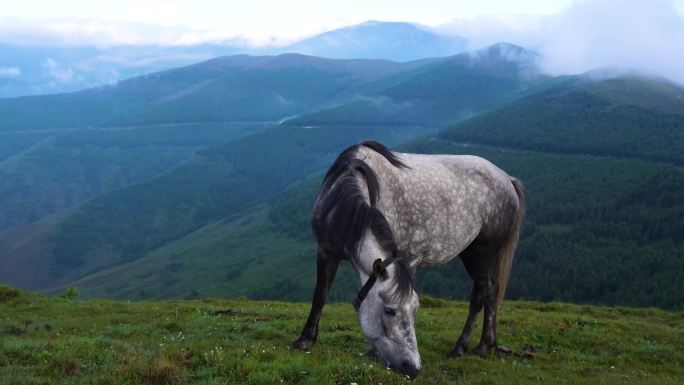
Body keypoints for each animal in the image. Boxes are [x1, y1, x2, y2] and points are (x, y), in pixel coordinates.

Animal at [292, 140, 524, 376]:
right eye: (389, 310)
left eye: (414, 310)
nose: (412, 367)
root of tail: (507, 179)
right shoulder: (326, 251)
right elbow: (320, 294)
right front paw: (305, 339)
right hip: (470, 253)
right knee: (492, 289)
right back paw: (486, 344)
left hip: (484, 252)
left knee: (479, 295)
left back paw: (461, 347)